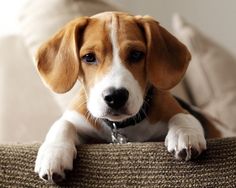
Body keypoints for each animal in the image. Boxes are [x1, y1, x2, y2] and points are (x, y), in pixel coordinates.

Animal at [34, 11, 220, 182]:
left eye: (136, 54)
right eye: (89, 57)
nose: (115, 96)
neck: (123, 126)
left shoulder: (175, 110)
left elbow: (182, 116)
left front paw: (185, 134)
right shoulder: (78, 119)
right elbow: (63, 124)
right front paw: (53, 153)